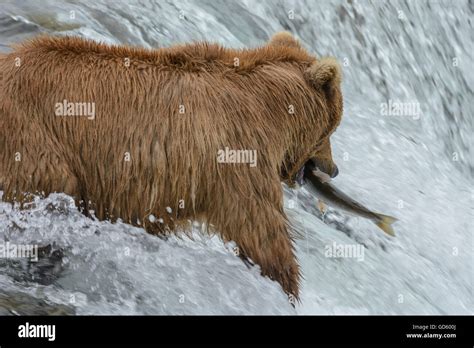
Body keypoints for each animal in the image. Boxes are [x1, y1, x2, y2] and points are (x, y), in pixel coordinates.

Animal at [0, 32, 342, 300]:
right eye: (332, 127)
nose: (334, 168)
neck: (273, 111)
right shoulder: (239, 153)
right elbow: (261, 230)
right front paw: (287, 286)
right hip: (35, 142)